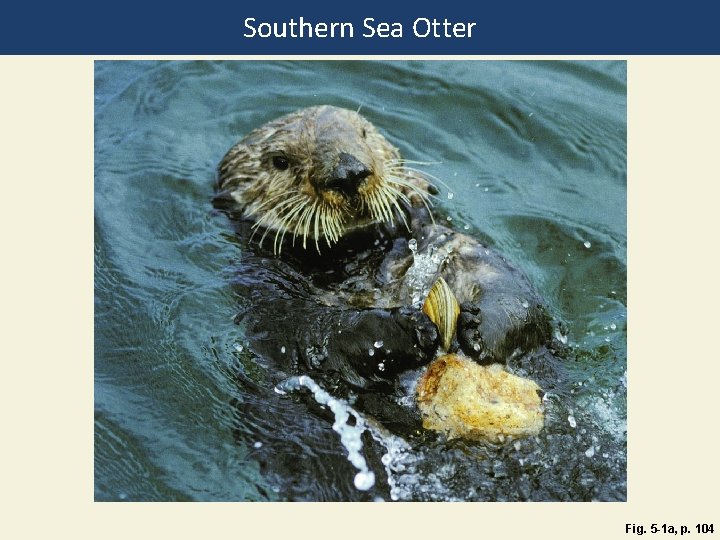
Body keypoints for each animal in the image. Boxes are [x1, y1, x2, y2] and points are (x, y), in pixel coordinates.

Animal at [214, 105, 555, 428]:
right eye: (280, 161)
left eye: (363, 134)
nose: (348, 171)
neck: (362, 255)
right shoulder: (267, 293)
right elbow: (307, 331)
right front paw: (403, 330)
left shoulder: (452, 246)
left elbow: (510, 288)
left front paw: (480, 326)